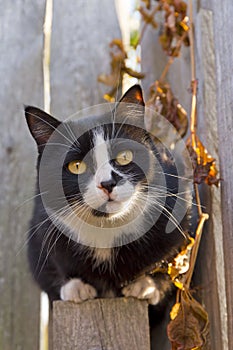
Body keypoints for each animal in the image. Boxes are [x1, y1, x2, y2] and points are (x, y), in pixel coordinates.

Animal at [25, 85, 191, 308]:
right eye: (76, 166)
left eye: (124, 156)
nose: (107, 183)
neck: (107, 228)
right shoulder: (40, 228)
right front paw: (75, 287)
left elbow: (175, 259)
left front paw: (146, 285)